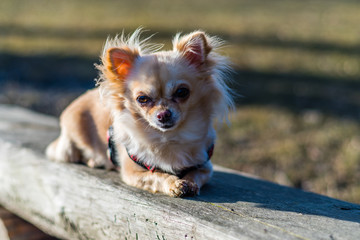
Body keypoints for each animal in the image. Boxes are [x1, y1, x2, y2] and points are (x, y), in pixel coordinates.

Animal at [45, 29, 233, 197]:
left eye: (182, 92)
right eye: (142, 99)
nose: (163, 114)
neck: (168, 138)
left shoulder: (205, 167)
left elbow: (195, 174)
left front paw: (189, 182)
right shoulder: (132, 173)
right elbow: (158, 175)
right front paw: (174, 183)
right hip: (68, 147)